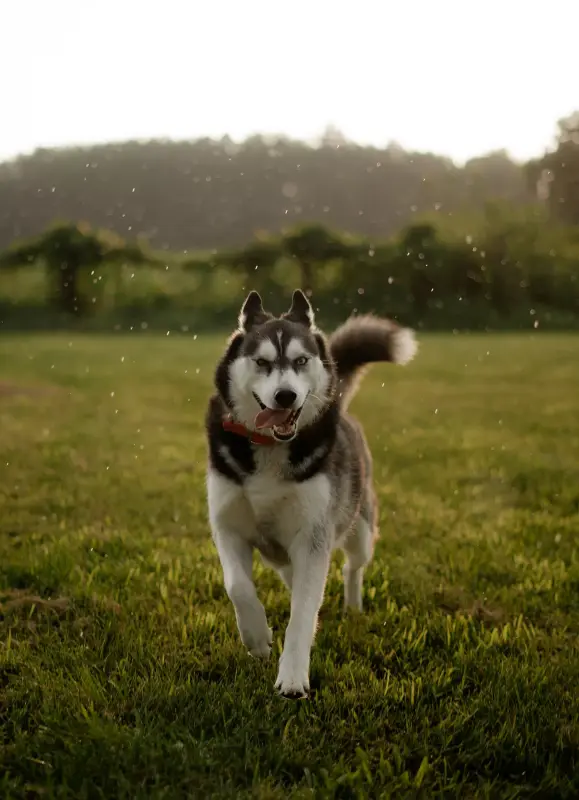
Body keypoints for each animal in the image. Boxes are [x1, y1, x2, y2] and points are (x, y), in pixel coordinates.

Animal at [206, 290, 420, 696]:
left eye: (301, 361)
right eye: (262, 362)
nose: (285, 396)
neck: (270, 447)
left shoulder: (313, 537)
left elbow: (304, 614)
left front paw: (292, 677)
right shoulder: (228, 526)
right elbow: (237, 586)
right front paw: (257, 638)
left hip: (360, 527)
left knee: (353, 566)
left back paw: (353, 606)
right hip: (281, 553)